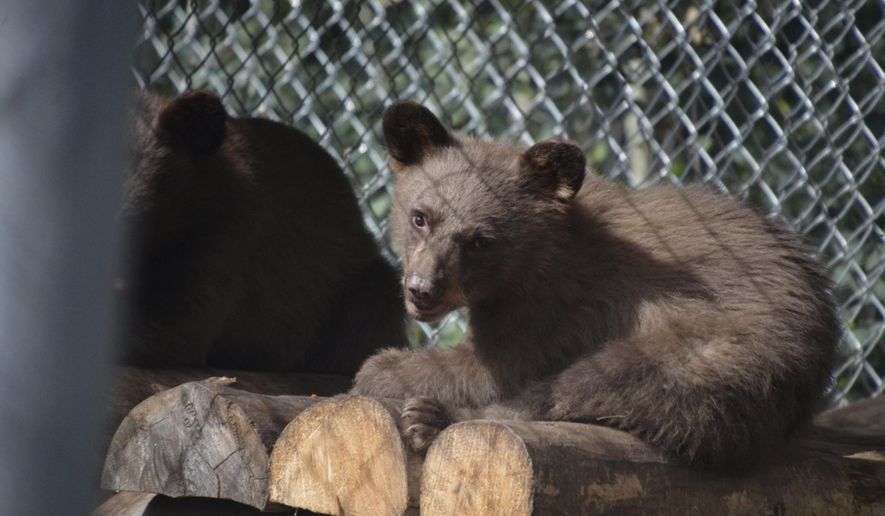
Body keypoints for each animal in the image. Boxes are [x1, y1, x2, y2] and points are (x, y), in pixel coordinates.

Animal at [351, 101, 840, 469]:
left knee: (590, 384)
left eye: (479, 240)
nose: (422, 289)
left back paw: (432, 419)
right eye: (420, 217)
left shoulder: (559, 299)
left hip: (713, 346)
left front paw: (380, 368)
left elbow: (498, 368)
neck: (535, 256)